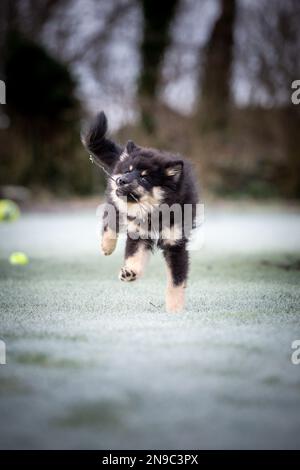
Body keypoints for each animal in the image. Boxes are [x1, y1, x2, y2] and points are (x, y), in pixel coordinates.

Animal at [82, 112, 199, 314]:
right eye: (128, 171)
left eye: (144, 177)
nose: (120, 180)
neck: (154, 212)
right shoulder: (138, 234)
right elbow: (134, 257)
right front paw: (130, 272)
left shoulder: (175, 244)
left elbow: (176, 282)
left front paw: (175, 309)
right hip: (115, 199)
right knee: (110, 220)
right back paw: (107, 246)